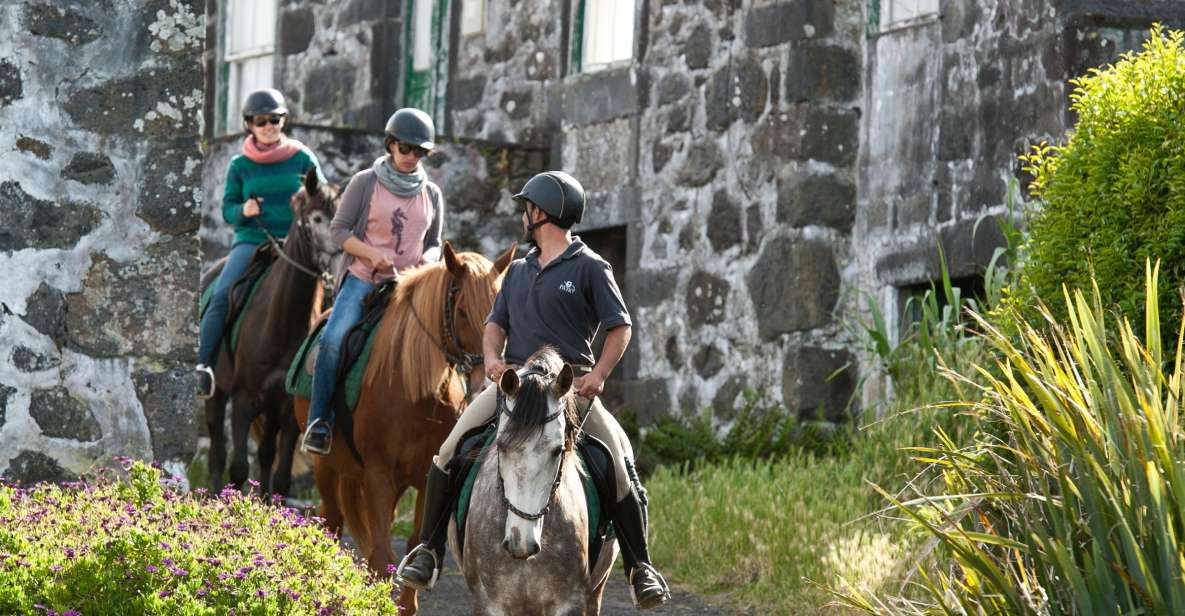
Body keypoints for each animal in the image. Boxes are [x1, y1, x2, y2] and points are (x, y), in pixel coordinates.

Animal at [293, 242, 511, 611]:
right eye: (462, 312)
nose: (487, 381)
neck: (418, 393)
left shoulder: (423, 477)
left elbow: (408, 548)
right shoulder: (379, 474)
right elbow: (381, 557)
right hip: (326, 466)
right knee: (332, 523)